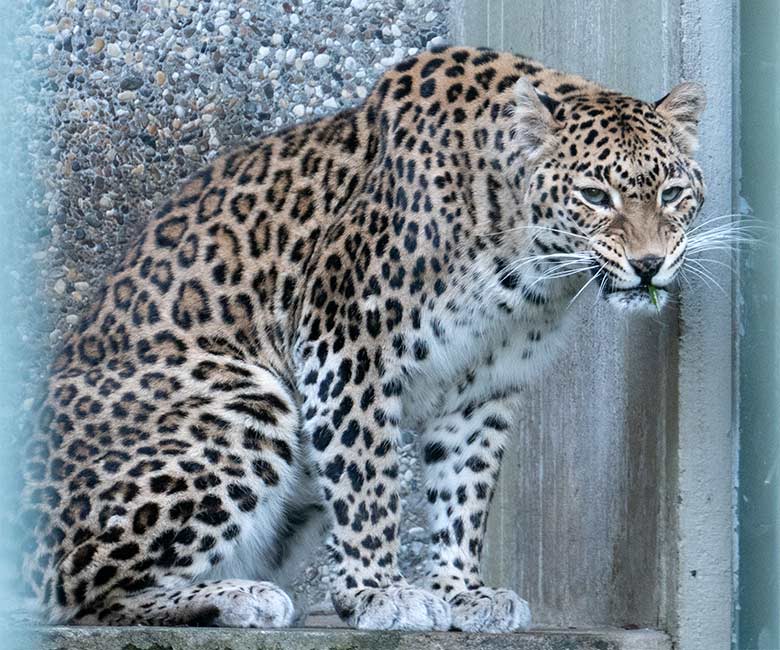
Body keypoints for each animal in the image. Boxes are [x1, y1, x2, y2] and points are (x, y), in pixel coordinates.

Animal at [22, 46, 708, 632]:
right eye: (594, 195)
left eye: (673, 193)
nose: (649, 264)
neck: (524, 261)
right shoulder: (347, 341)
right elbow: (367, 478)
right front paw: (380, 591)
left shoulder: (483, 386)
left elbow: (464, 488)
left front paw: (462, 591)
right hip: (247, 400)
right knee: (82, 596)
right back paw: (242, 597)